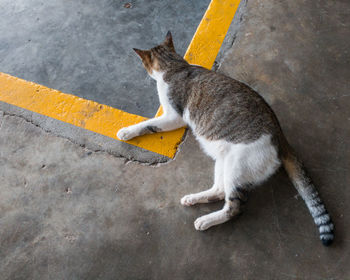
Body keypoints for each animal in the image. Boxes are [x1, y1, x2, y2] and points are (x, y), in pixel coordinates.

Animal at [117, 30, 334, 245]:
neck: (175, 65)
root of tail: (280, 138)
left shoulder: (173, 116)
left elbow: (147, 125)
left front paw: (126, 131)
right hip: (223, 161)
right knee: (219, 191)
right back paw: (193, 199)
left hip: (236, 167)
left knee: (234, 208)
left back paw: (205, 221)